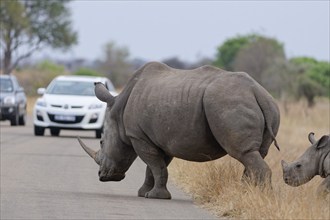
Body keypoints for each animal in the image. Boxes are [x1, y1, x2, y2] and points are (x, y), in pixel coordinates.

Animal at [78, 61, 280, 199]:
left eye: (102, 142)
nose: (102, 176)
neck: (118, 111)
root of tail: (257, 92)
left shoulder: (138, 136)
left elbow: (154, 165)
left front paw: (154, 196)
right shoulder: (161, 139)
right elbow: (156, 167)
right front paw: (145, 193)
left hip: (228, 103)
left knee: (243, 153)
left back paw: (258, 198)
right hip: (265, 107)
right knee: (254, 154)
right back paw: (245, 196)